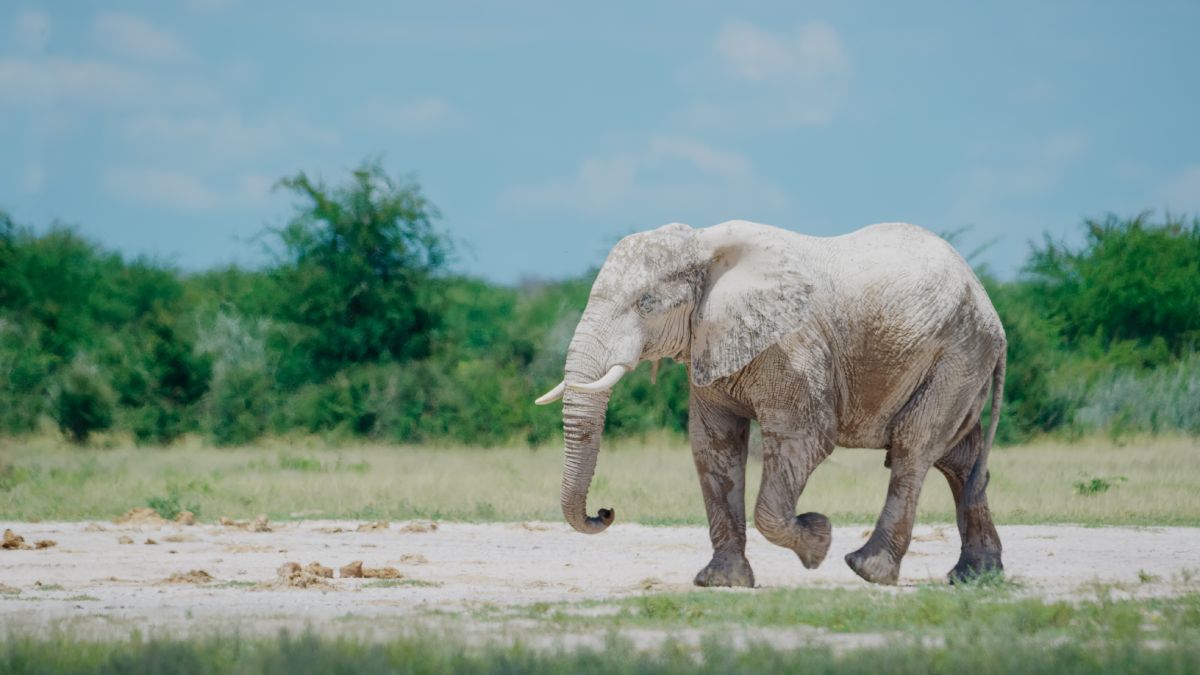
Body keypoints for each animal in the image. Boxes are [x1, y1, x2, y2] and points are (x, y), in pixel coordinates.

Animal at [535, 219, 1003, 583]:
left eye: (646, 303)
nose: (605, 511)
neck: (705, 245)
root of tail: (987, 302)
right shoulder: (710, 341)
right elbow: (715, 446)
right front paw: (721, 582)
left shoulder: (793, 347)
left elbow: (804, 438)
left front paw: (817, 541)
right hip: (962, 360)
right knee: (959, 460)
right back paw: (975, 577)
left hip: (957, 354)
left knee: (913, 449)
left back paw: (867, 570)